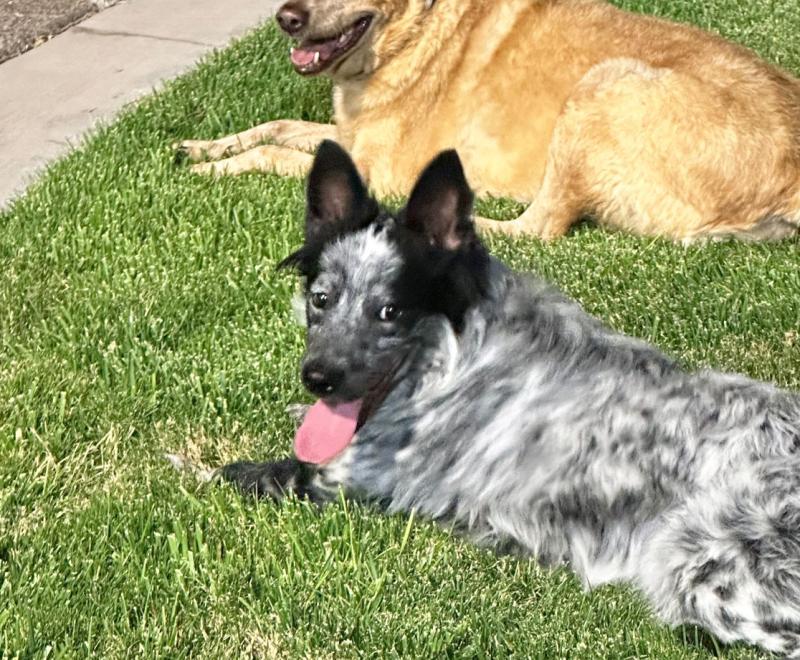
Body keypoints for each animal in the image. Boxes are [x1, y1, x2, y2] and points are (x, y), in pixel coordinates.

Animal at [177, 0, 800, 242]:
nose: (286, 18)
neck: (411, 33)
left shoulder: (378, 171)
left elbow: (275, 151)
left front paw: (214, 169)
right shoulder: (347, 137)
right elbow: (278, 127)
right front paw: (202, 147)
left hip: (604, 85)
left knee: (538, 228)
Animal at [220, 139, 800, 656]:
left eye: (390, 312)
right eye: (322, 299)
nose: (318, 378)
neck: (457, 355)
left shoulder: (351, 480)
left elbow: (260, 472)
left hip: (693, 563)